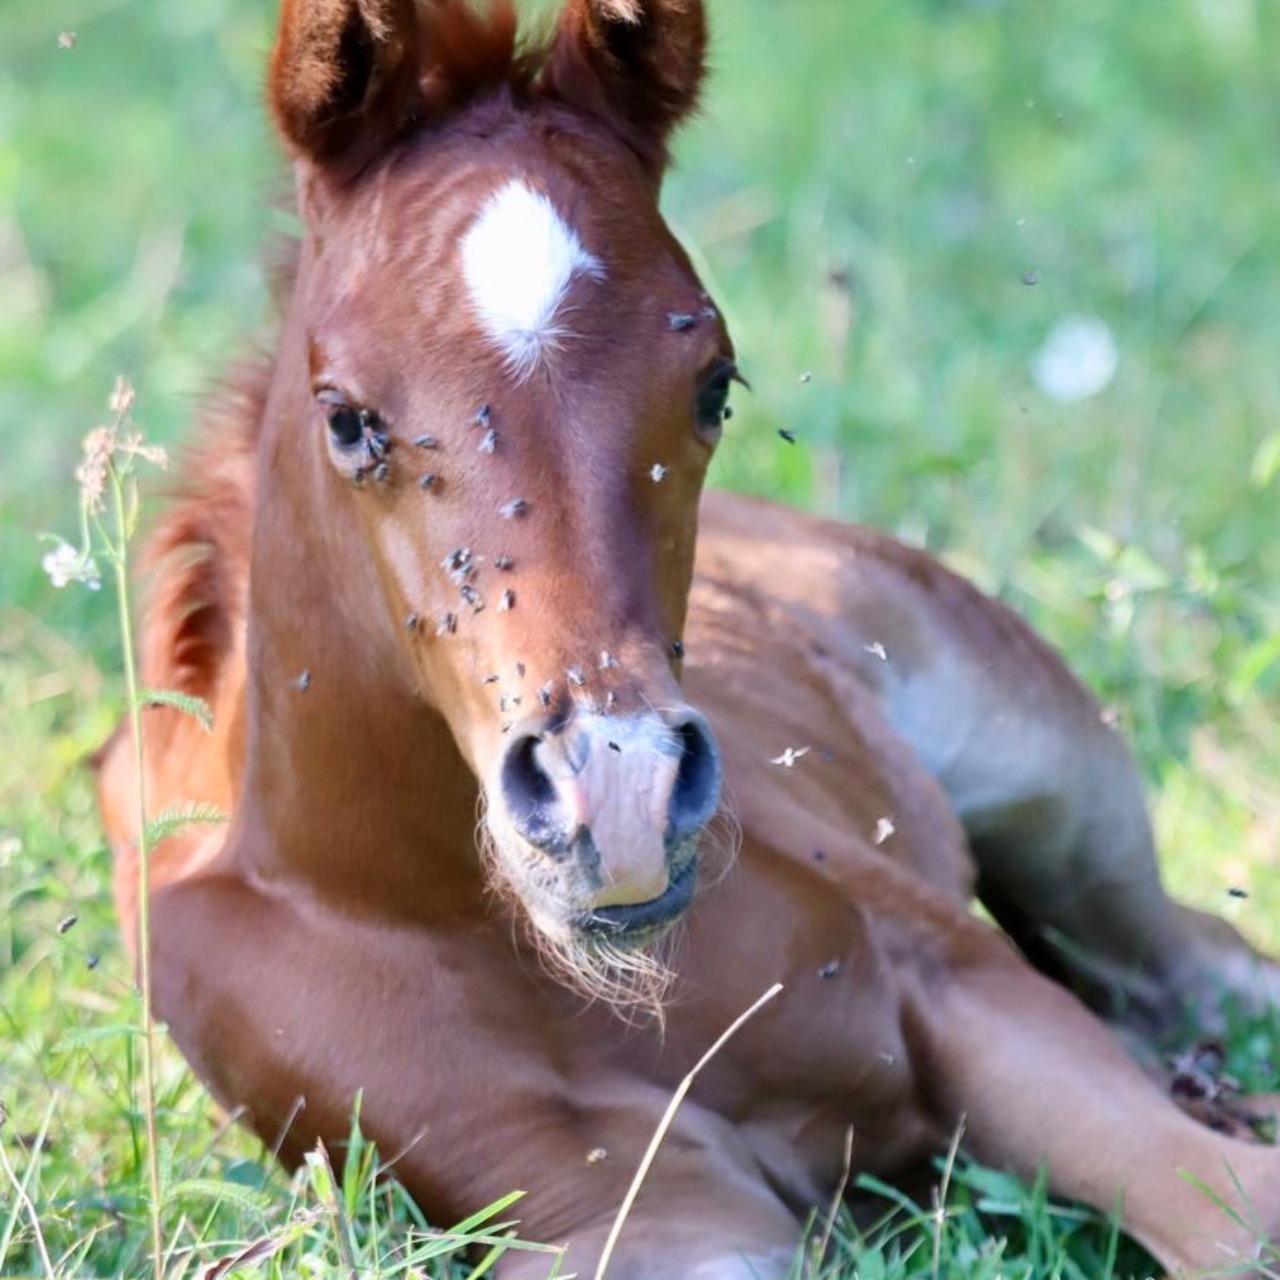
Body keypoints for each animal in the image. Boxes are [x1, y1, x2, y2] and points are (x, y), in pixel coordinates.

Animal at [97, 2, 1280, 1280]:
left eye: (715, 382)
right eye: (347, 418)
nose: (618, 796)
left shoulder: (966, 986)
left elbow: (1234, 1210)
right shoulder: (653, 1222)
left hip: (1063, 802)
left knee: (1197, 961)